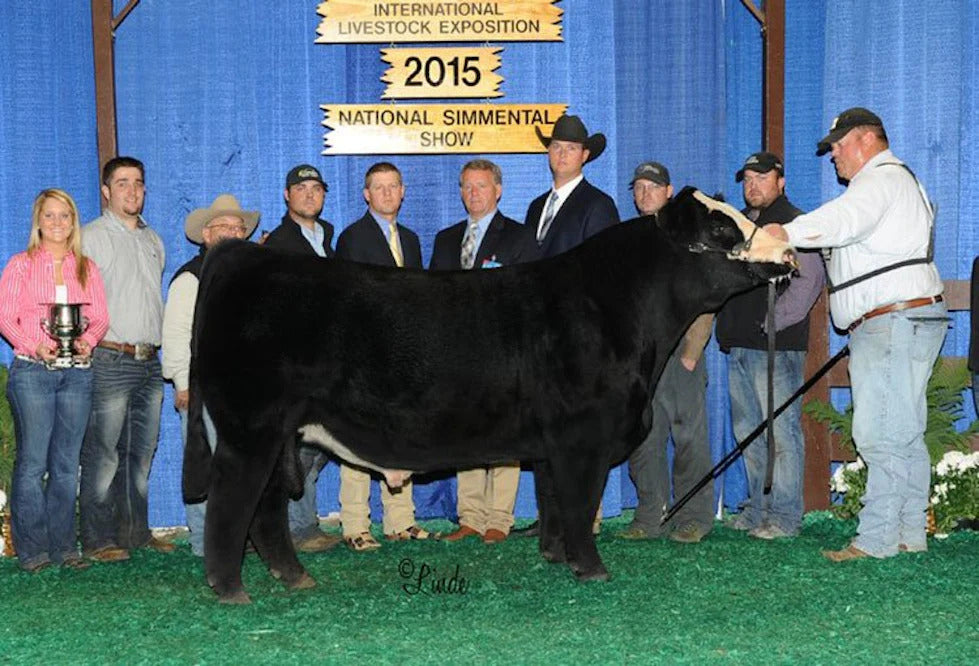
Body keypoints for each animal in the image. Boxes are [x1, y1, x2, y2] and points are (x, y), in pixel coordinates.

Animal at [183, 187, 796, 603]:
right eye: (721, 231)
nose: (787, 248)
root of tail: (243, 255)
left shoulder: (553, 444)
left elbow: (554, 503)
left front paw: (555, 557)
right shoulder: (584, 437)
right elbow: (580, 503)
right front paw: (592, 568)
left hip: (278, 433)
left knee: (265, 507)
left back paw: (295, 578)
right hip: (249, 428)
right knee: (232, 503)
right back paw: (231, 588)